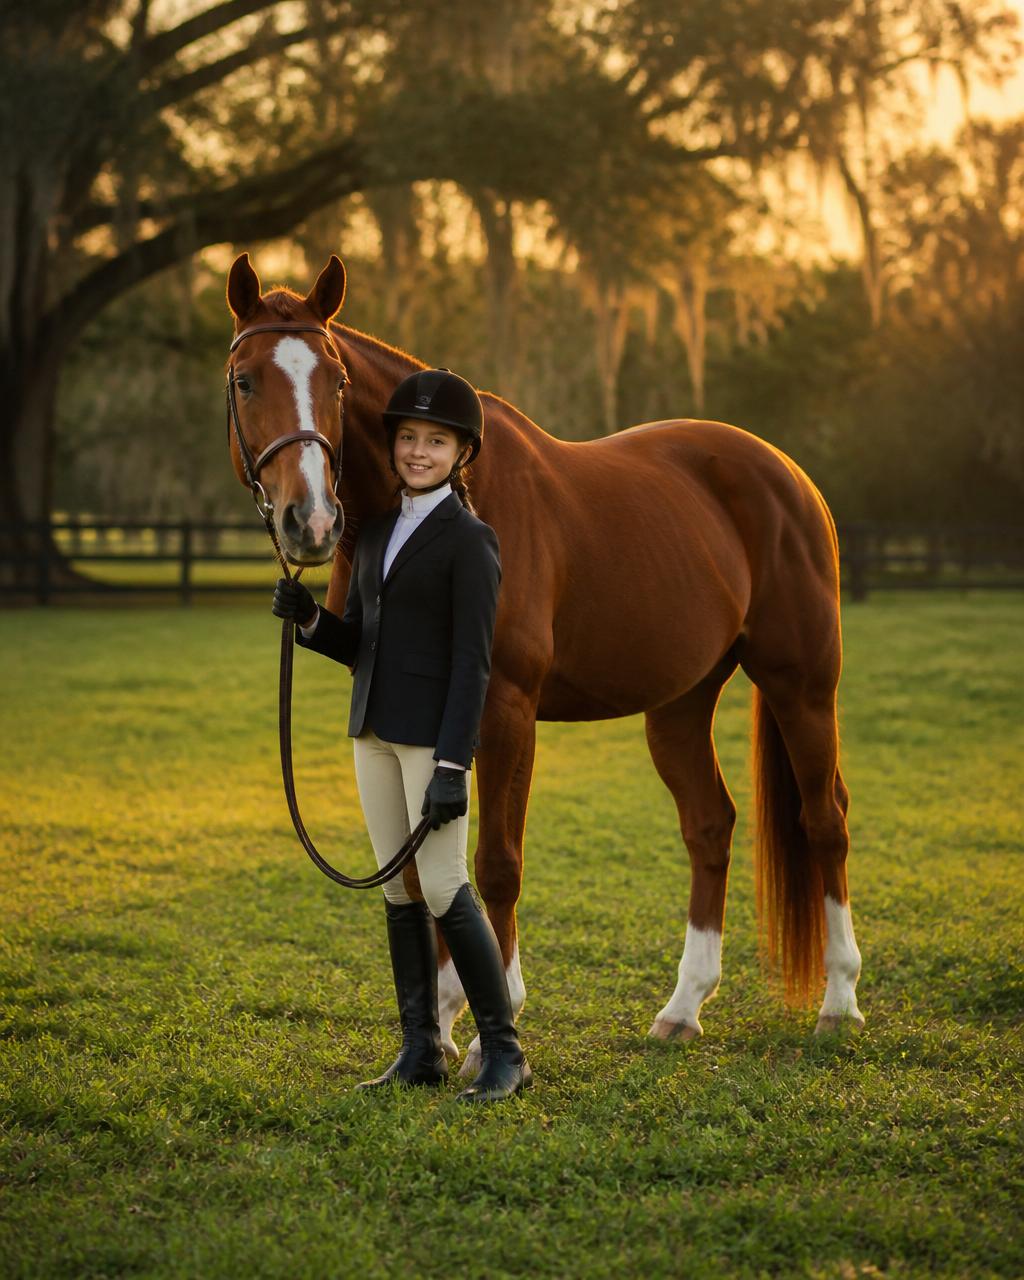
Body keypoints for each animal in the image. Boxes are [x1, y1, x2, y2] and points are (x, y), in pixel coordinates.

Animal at [225, 252, 865, 1075]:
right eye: (246, 380)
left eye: (335, 381)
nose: (311, 521)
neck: (448, 498)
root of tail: (786, 471)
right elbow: (430, 865)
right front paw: (443, 1022)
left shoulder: (504, 709)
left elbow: (496, 861)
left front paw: (491, 1024)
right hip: (680, 702)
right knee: (709, 825)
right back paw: (683, 1009)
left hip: (801, 683)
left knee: (825, 821)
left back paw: (839, 1002)